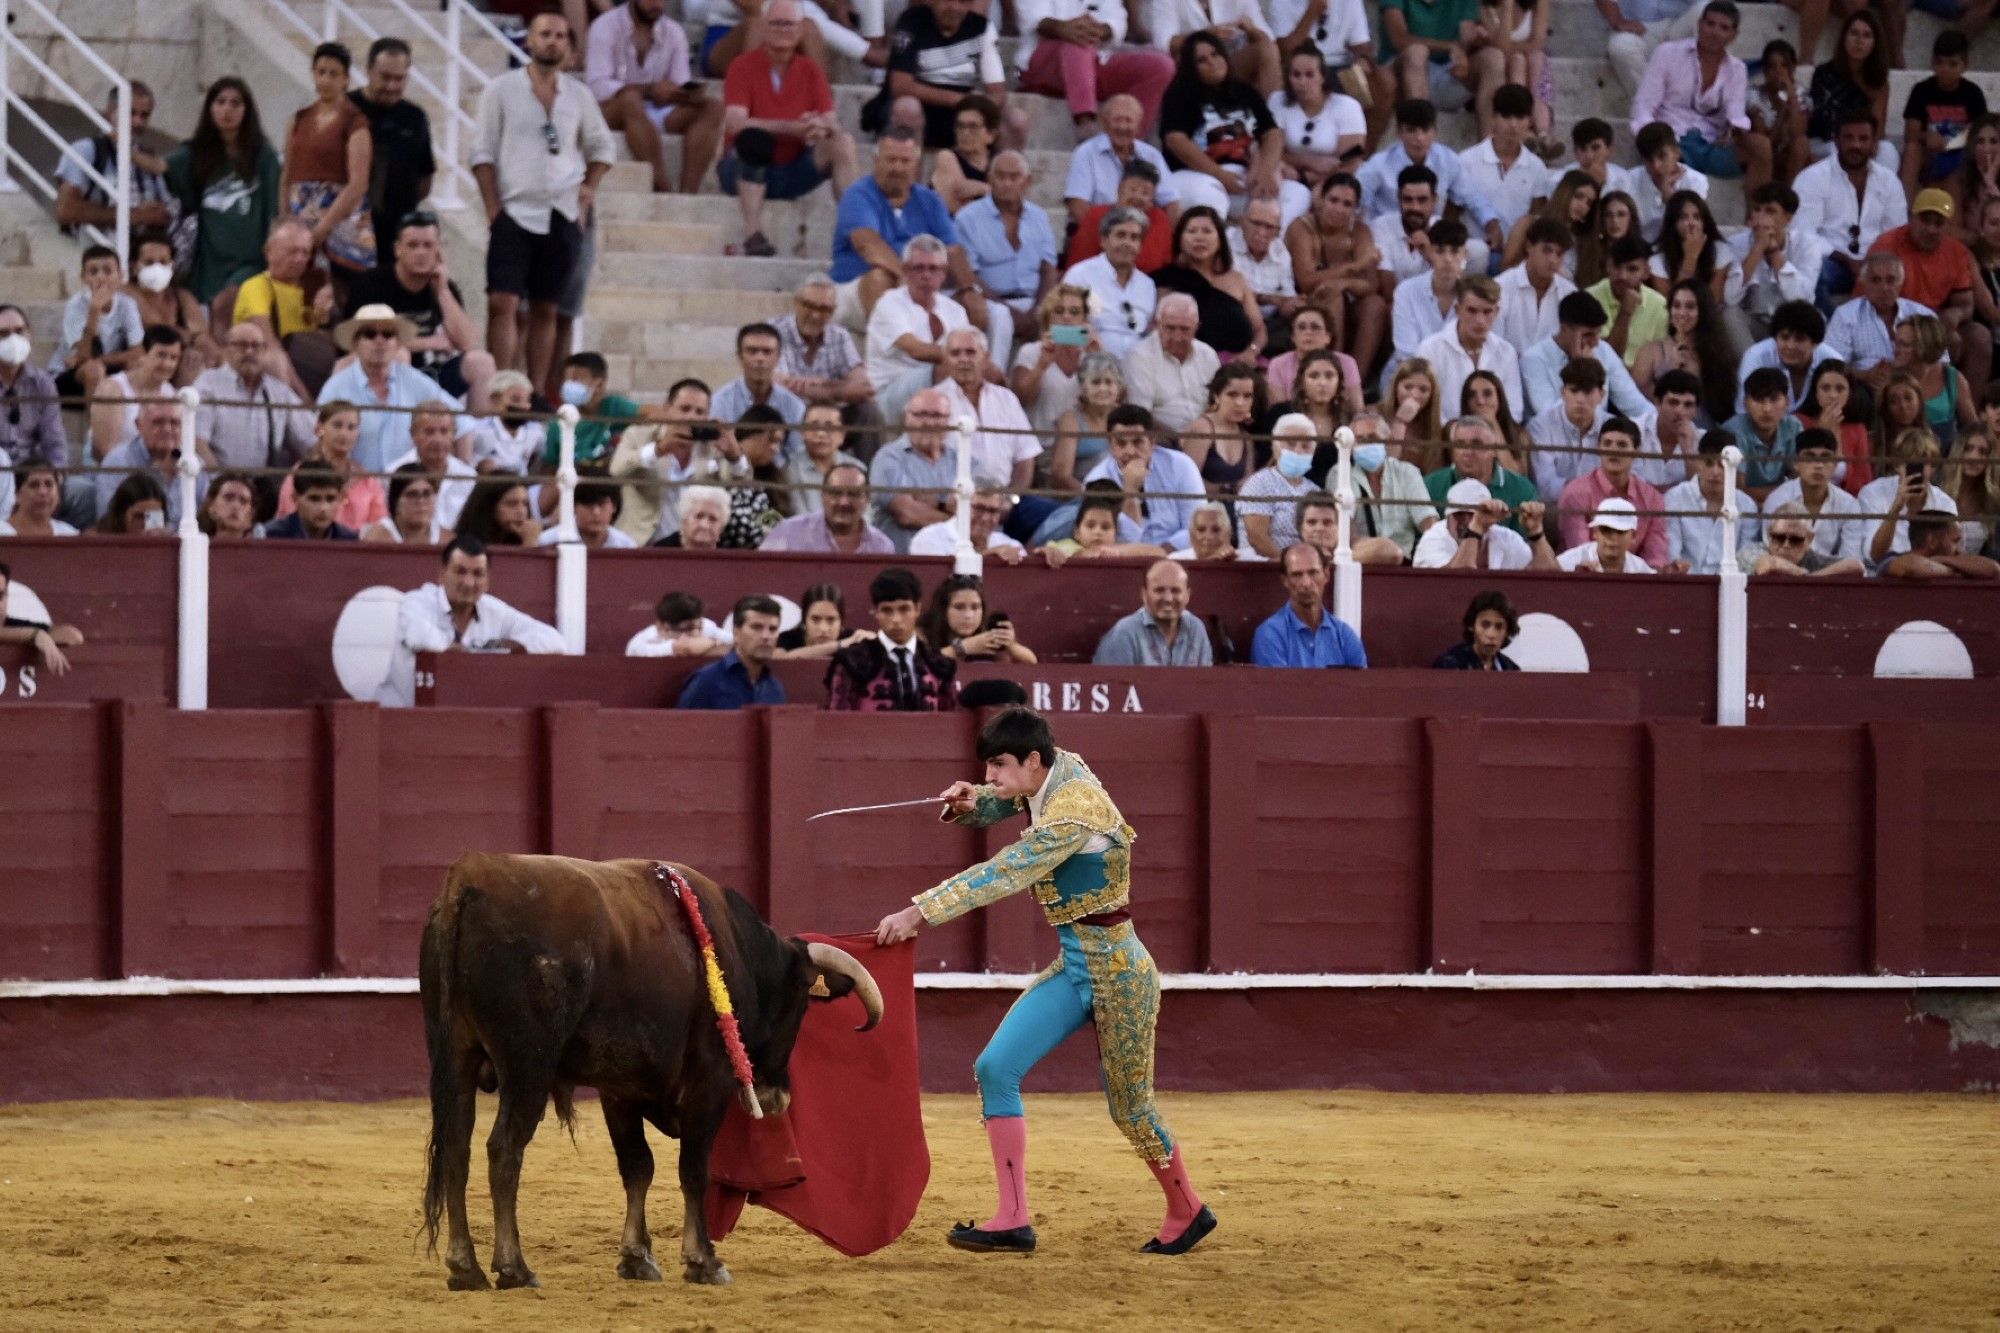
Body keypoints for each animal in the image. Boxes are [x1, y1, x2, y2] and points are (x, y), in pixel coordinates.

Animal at [418, 852, 880, 1288]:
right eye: (802, 1002)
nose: (777, 1097)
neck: (737, 951)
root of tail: (469, 881)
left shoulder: (619, 1089)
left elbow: (637, 1167)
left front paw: (636, 1258)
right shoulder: (710, 1082)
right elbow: (693, 1170)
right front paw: (703, 1261)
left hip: (454, 1056)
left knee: (455, 1147)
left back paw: (466, 1268)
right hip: (527, 1066)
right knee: (504, 1149)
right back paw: (514, 1268)